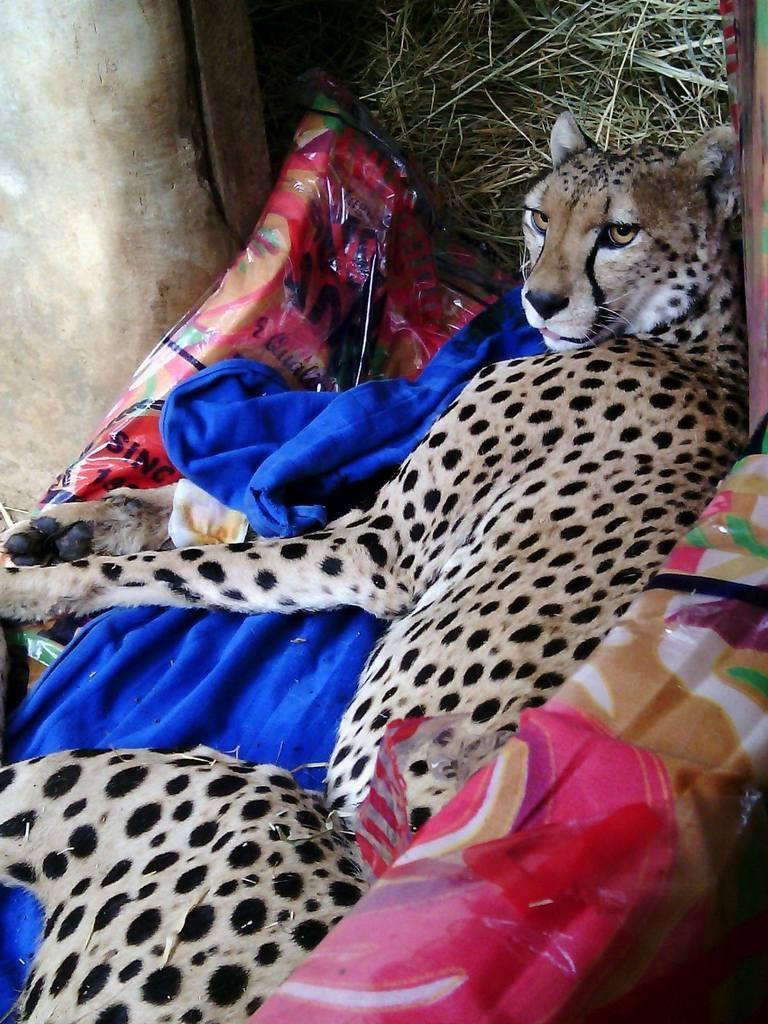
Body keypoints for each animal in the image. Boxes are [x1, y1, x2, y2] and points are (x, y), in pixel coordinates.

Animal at [0, 113, 748, 1022]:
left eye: (621, 232)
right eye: (541, 217)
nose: (539, 299)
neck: (691, 341)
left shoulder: (379, 551)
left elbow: (203, 565)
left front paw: (29, 586)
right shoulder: (364, 511)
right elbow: (220, 500)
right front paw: (70, 528)